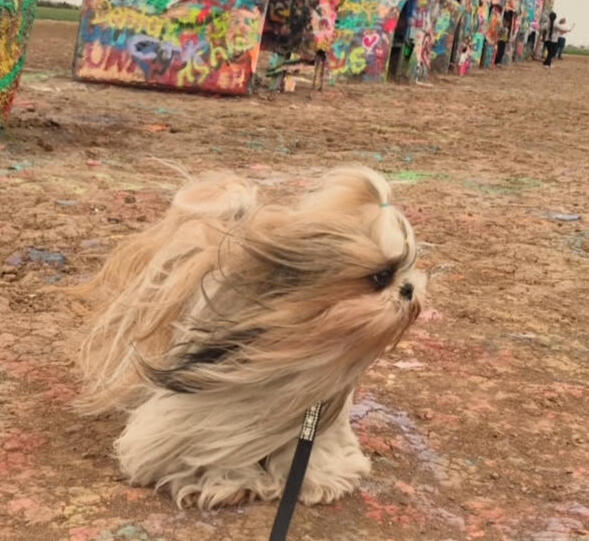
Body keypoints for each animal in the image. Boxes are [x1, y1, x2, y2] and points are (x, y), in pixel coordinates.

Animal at [76, 165, 424, 506]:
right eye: (381, 277)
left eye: (406, 269)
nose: (409, 288)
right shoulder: (210, 409)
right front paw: (226, 484)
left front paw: (316, 481)